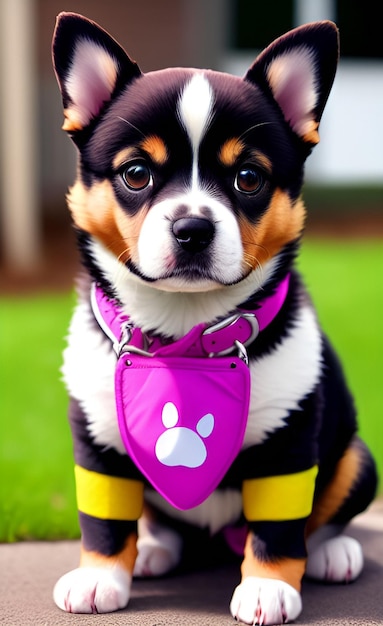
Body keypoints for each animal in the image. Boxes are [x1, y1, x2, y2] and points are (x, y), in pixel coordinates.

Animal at [51, 12, 378, 620]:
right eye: (136, 173)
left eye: (248, 178)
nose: (193, 228)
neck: (184, 329)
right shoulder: (99, 436)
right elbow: (104, 521)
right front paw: (100, 575)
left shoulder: (289, 441)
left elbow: (279, 529)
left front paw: (269, 587)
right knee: (159, 522)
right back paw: (155, 549)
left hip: (356, 458)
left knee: (326, 517)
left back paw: (334, 552)